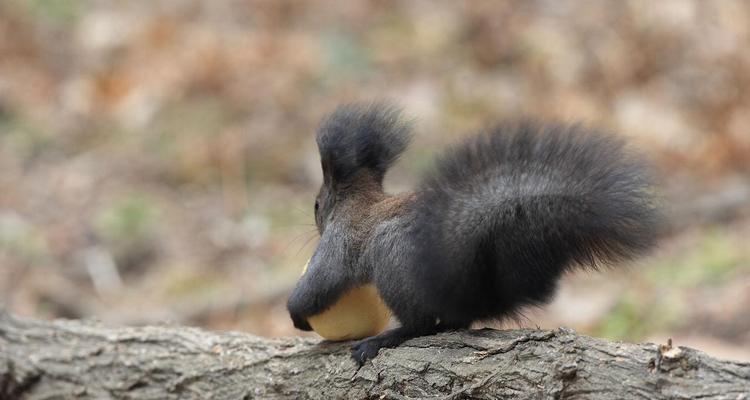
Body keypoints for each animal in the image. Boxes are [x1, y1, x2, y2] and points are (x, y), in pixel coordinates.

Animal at [284, 101, 660, 364]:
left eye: (316, 205)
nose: (313, 222)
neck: (359, 202)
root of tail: (465, 290)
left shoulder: (338, 242)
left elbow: (320, 283)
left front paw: (296, 313)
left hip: (392, 256)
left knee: (421, 324)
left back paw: (387, 338)